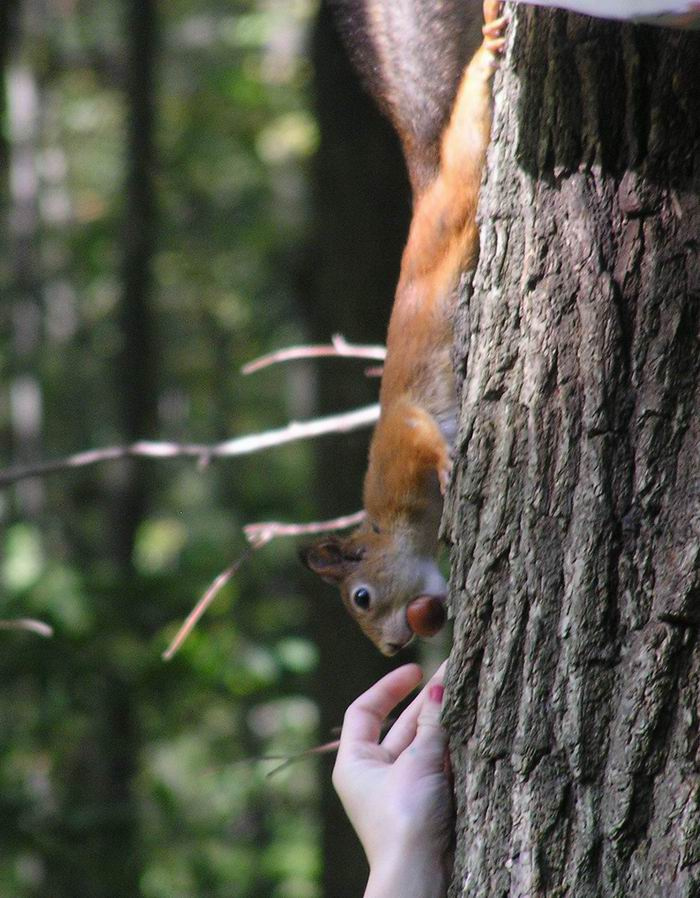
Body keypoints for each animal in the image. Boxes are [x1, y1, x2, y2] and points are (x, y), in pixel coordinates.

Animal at [300, 0, 507, 655]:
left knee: (469, 129)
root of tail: (425, 194)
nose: (391, 650)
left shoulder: (398, 439)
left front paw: (446, 465)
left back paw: (490, 47)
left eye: (361, 597)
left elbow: (422, 436)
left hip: (458, 194)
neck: (393, 521)